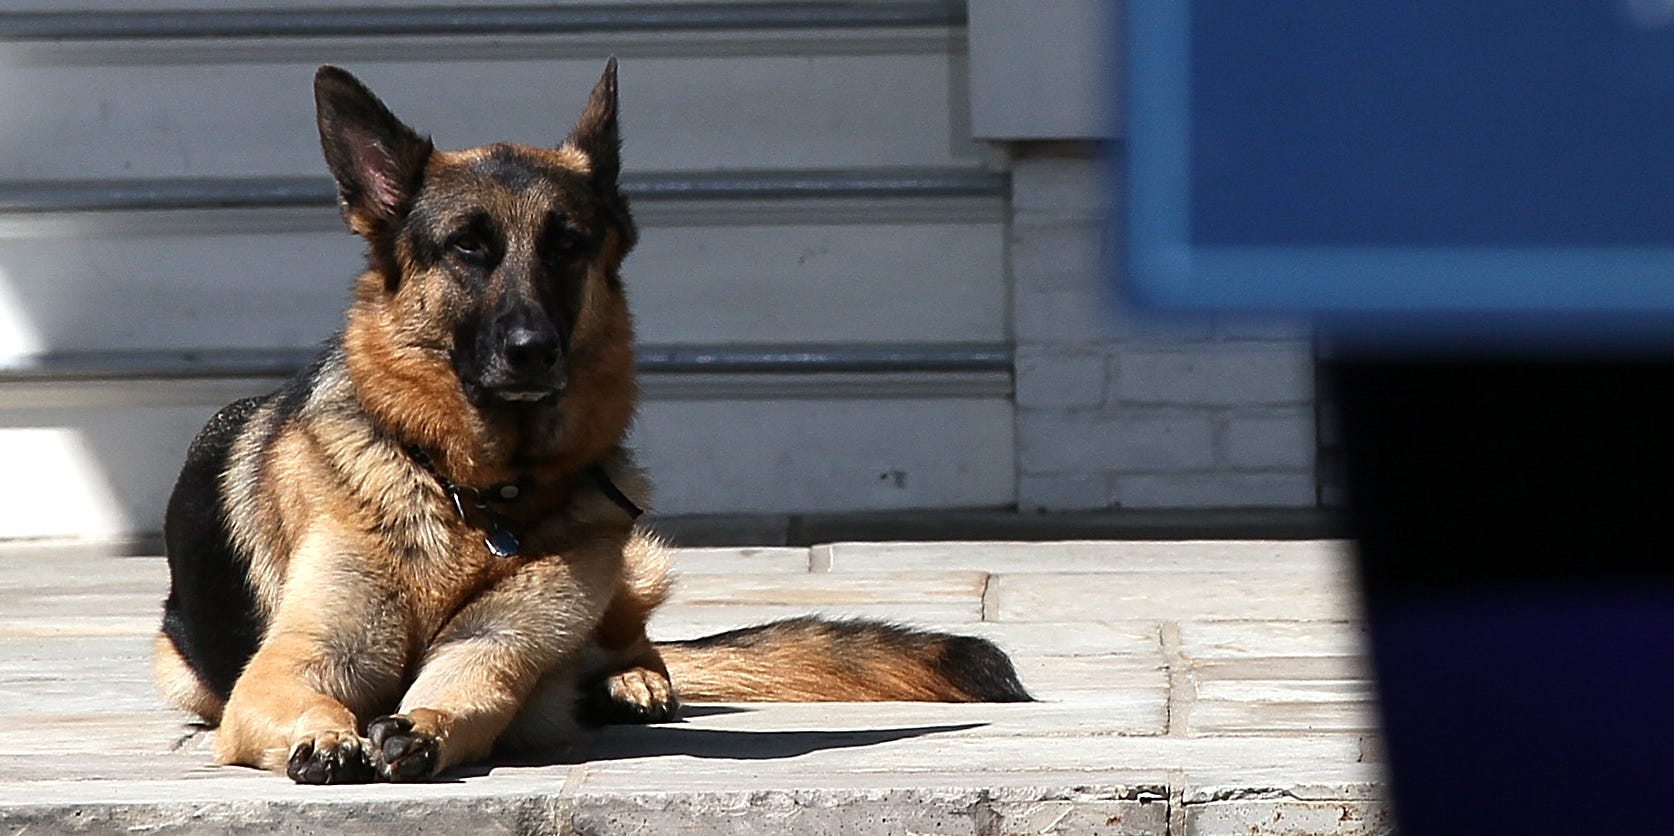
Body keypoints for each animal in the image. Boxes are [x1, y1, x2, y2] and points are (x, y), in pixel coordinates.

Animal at [150, 61, 1024, 787]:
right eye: (468, 247)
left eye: (566, 245)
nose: (532, 350)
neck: (479, 498)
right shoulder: (294, 664)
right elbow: (309, 697)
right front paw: (328, 734)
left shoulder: (498, 650)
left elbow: (472, 691)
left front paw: (424, 724)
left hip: (632, 559)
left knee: (636, 643)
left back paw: (632, 681)